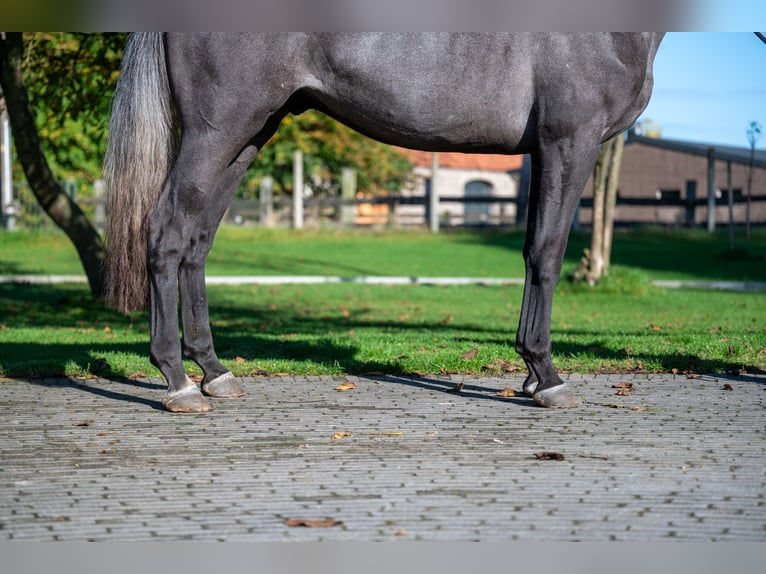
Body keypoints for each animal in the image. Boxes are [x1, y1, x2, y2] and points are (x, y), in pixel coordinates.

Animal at [103, 33, 664, 414]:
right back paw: (177, 383)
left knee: (197, 243)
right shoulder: (569, 142)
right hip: (216, 131)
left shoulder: (543, 154)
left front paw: (529, 376)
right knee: (167, 232)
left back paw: (214, 373)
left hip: (248, 136)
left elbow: (530, 251)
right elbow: (547, 252)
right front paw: (546, 376)